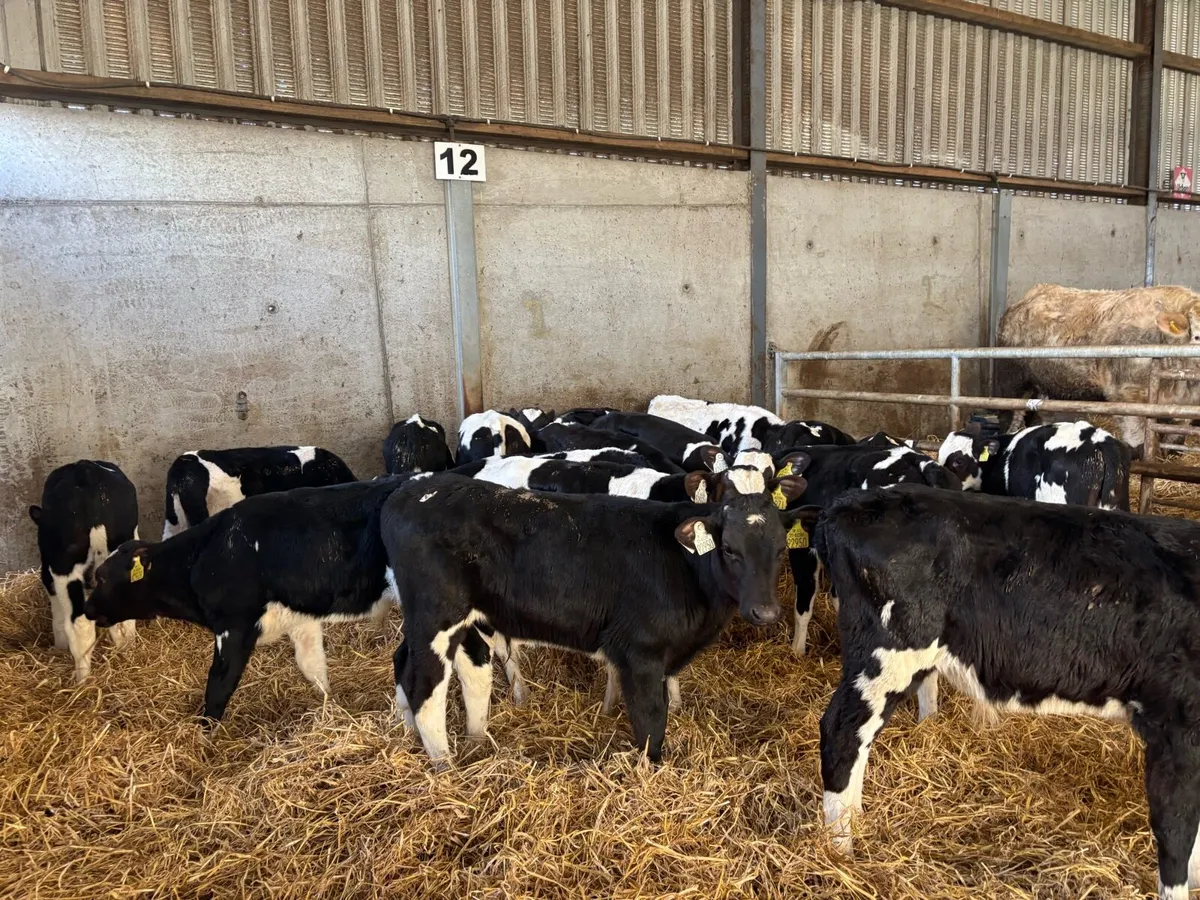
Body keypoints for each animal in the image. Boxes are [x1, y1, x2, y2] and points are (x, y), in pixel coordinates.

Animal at [29, 460, 140, 683]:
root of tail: (85, 469)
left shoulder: (48, 572)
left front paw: (58, 647)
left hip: (65, 566)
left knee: (79, 626)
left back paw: (82, 681)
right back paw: (126, 650)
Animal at [85, 477, 408, 721]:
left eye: (101, 577)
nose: (87, 608)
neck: (204, 555)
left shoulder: (234, 624)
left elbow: (219, 684)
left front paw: (206, 736)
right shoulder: (300, 617)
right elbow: (312, 665)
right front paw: (331, 705)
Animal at [382, 474, 803, 764]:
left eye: (781, 549)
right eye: (729, 549)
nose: (765, 612)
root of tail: (415, 488)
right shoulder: (642, 653)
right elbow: (651, 721)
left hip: (460, 619)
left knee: (434, 666)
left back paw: (465, 739)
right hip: (436, 614)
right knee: (424, 684)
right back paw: (444, 766)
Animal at [809, 485, 1200, 900]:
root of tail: (849, 503)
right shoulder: (1176, 727)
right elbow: (1177, 830)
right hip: (888, 654)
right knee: (841, 733)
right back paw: (841, 852)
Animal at [996, 283, 1200, 454]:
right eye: (1197, 336)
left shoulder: (1184, 406)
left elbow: (1175, 440)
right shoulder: (1126, 394)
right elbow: (1139, 443)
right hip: (1012, 380)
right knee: (1010, 416)